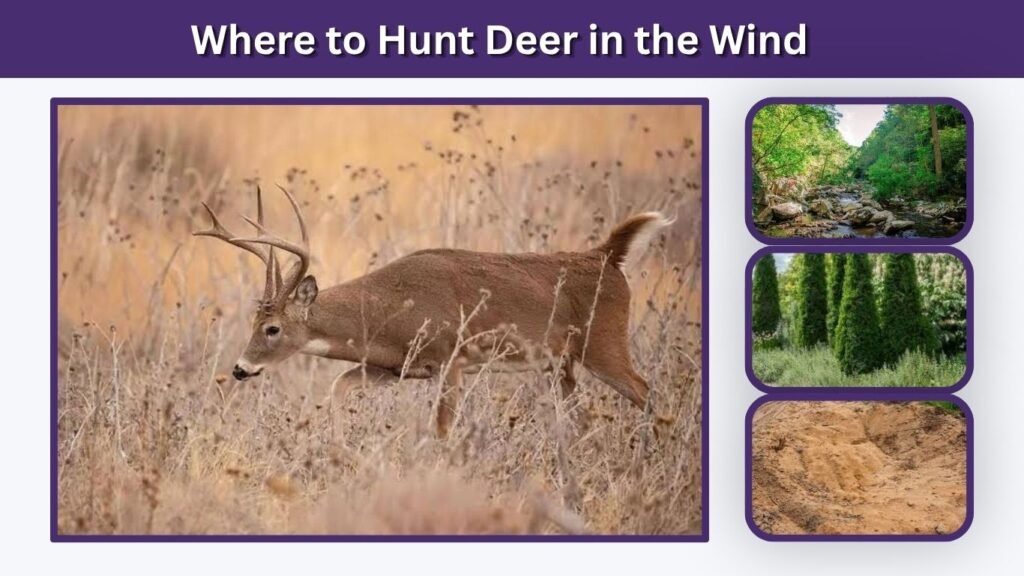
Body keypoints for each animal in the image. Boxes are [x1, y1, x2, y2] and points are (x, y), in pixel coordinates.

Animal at [194, 186, 675, 438]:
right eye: (253, 322)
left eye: (272, 328)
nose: (239, 369)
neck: (389, 310)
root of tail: (607, 257)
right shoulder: (395, 367)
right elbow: (338, 388)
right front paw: (338, 445)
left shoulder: (450, 359)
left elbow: (442, 429)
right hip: (563, 364)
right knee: (582, 415)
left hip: (603, 343)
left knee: (647, 390)